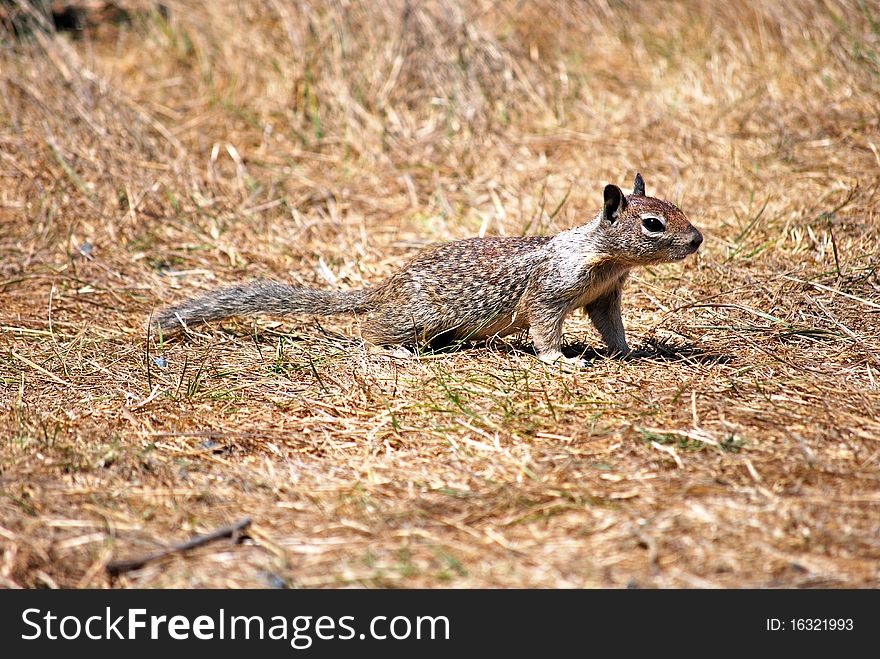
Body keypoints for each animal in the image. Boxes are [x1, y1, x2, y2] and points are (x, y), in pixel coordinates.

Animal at [151, 174, 700, 366]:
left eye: (675, 207)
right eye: (653, 224)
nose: (697, 240)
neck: (603, 256)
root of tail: (383, 288)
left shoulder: (606, 295)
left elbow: (612, 326)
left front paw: (630, 351)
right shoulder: (549, 292)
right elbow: (544, 328)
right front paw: (559, 359)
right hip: (418, 316)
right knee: (369, 333)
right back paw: (395, 352)